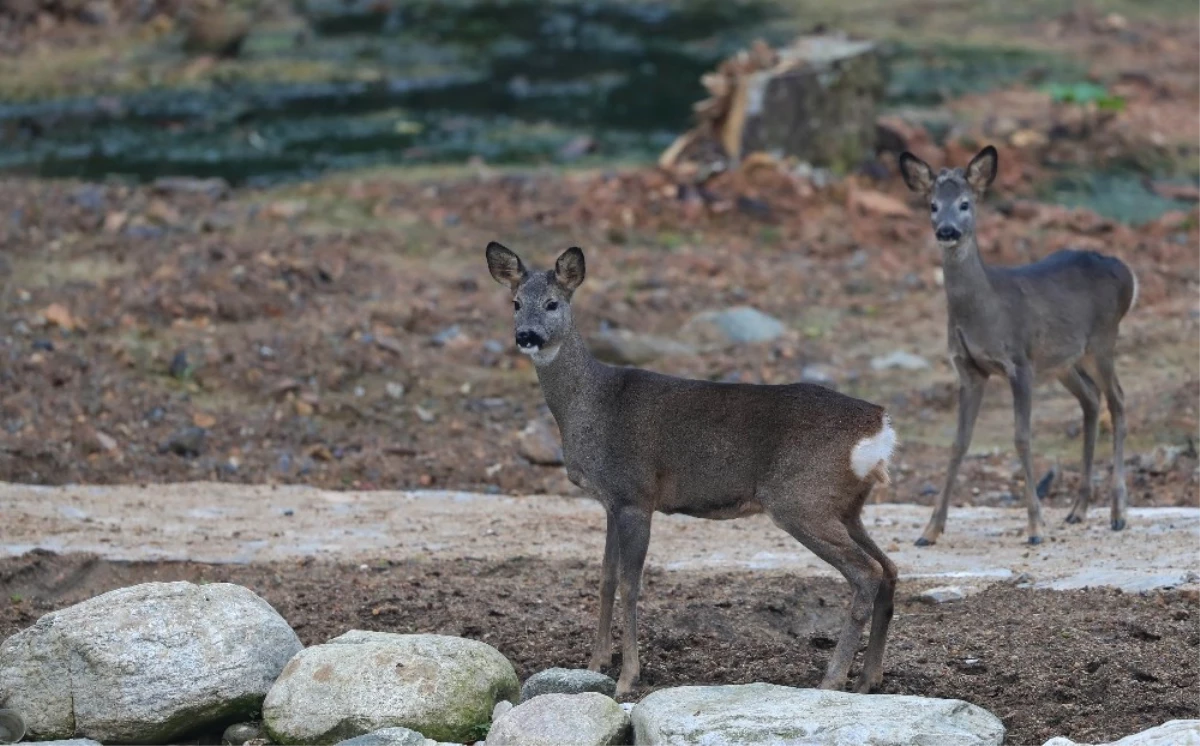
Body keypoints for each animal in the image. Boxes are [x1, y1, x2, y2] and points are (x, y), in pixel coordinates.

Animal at [482, 242, 897, 700]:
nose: (526, 335)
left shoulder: (635, 494)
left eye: (553, 303)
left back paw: (833, 678)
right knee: (890, 570)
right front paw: (594, 663)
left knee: (867, 573)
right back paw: (870, 677)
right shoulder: (611, 500)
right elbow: (605, 578)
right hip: (845, 506)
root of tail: (878, 426)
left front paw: (627, 677)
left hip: (802, 500)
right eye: (515, 303)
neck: (591, 404)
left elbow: (630, 584)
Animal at [897, 147, 1137, 549]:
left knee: (1117, 400)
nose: (946, 230)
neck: (985, 311)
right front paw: (929, 531)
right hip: (1062, 361)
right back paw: (1078, 509)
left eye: (965, 203)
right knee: (1091, 399)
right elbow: (959, 443)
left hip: (1103, 340)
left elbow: (1022, 438)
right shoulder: (969, 370)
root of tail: (1129, 274)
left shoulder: (1020, 362)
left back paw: (1118, 513)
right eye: (932, 204)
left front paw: (1036, 527)